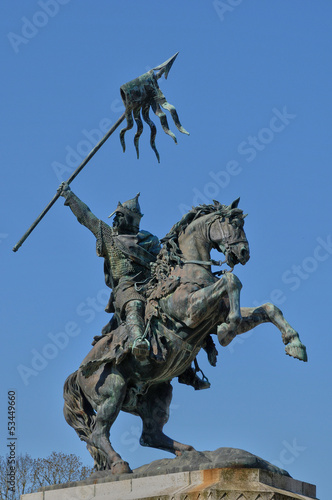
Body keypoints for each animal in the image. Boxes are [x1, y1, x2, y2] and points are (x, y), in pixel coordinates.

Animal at [62, 198, 306, 472]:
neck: (188, 272)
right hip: (112, 391)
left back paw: (190, 453)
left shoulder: (216, 315)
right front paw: (228, 331)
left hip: (157, 393)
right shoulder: (190, 311)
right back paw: (120, 464)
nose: (243, 253)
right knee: (99, 433)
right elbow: (232, 281)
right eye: (232, 223)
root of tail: (78, 373)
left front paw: (294, 344)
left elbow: (268, 308)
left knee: (150, 435)